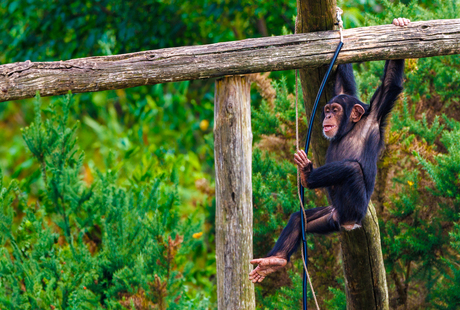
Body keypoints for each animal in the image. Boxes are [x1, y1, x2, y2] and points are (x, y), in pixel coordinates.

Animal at [250, 17, 412, 284]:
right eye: (326, 109)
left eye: (335, 110)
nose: (326, 115)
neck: (349, 129)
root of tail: (345, 222)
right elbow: (342, 83)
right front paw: (339, 32)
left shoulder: (376, 115)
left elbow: (391, 84)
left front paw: (401, 23)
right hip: (329, 218)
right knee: (300, 219)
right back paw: (274, 261)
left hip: (353, 208)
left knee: (351, 169)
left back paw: (307, 175)